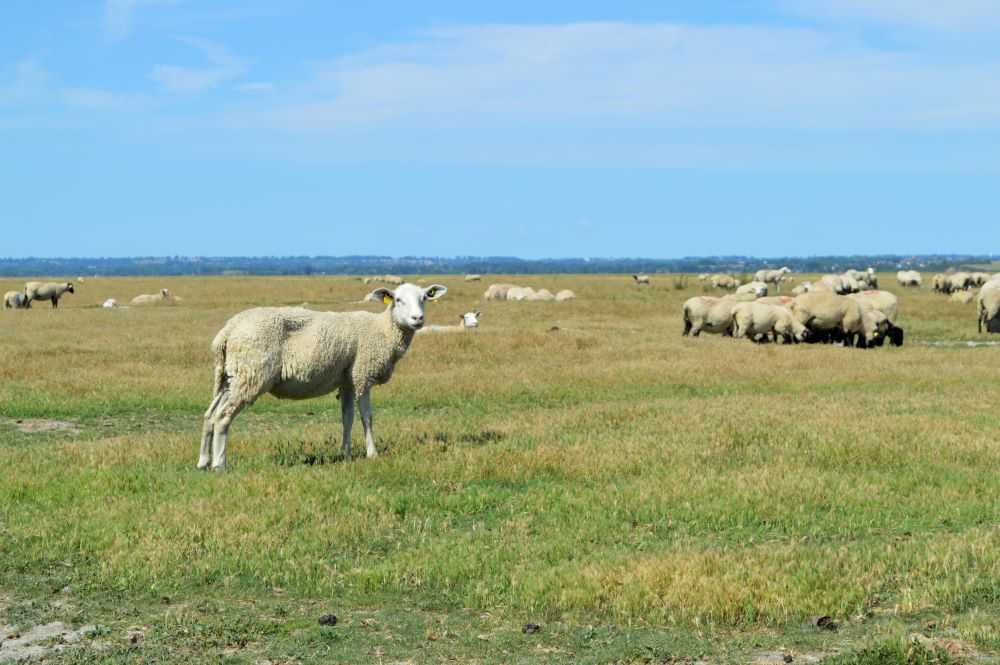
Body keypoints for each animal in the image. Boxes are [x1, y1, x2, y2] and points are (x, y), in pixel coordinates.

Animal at [198, 282, 447, 470]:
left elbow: (347, 418)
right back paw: (219, 464)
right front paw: (372, 453)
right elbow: (367, 417)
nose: (418, 318)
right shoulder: (362, 375)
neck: (383, 329)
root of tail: (228, 330)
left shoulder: (347, 380)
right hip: (251, 374)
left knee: (210, 415)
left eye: (424, 298)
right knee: (222, 418)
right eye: (398, 300)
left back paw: (203, 461)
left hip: (231, 376)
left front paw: (345, 453)